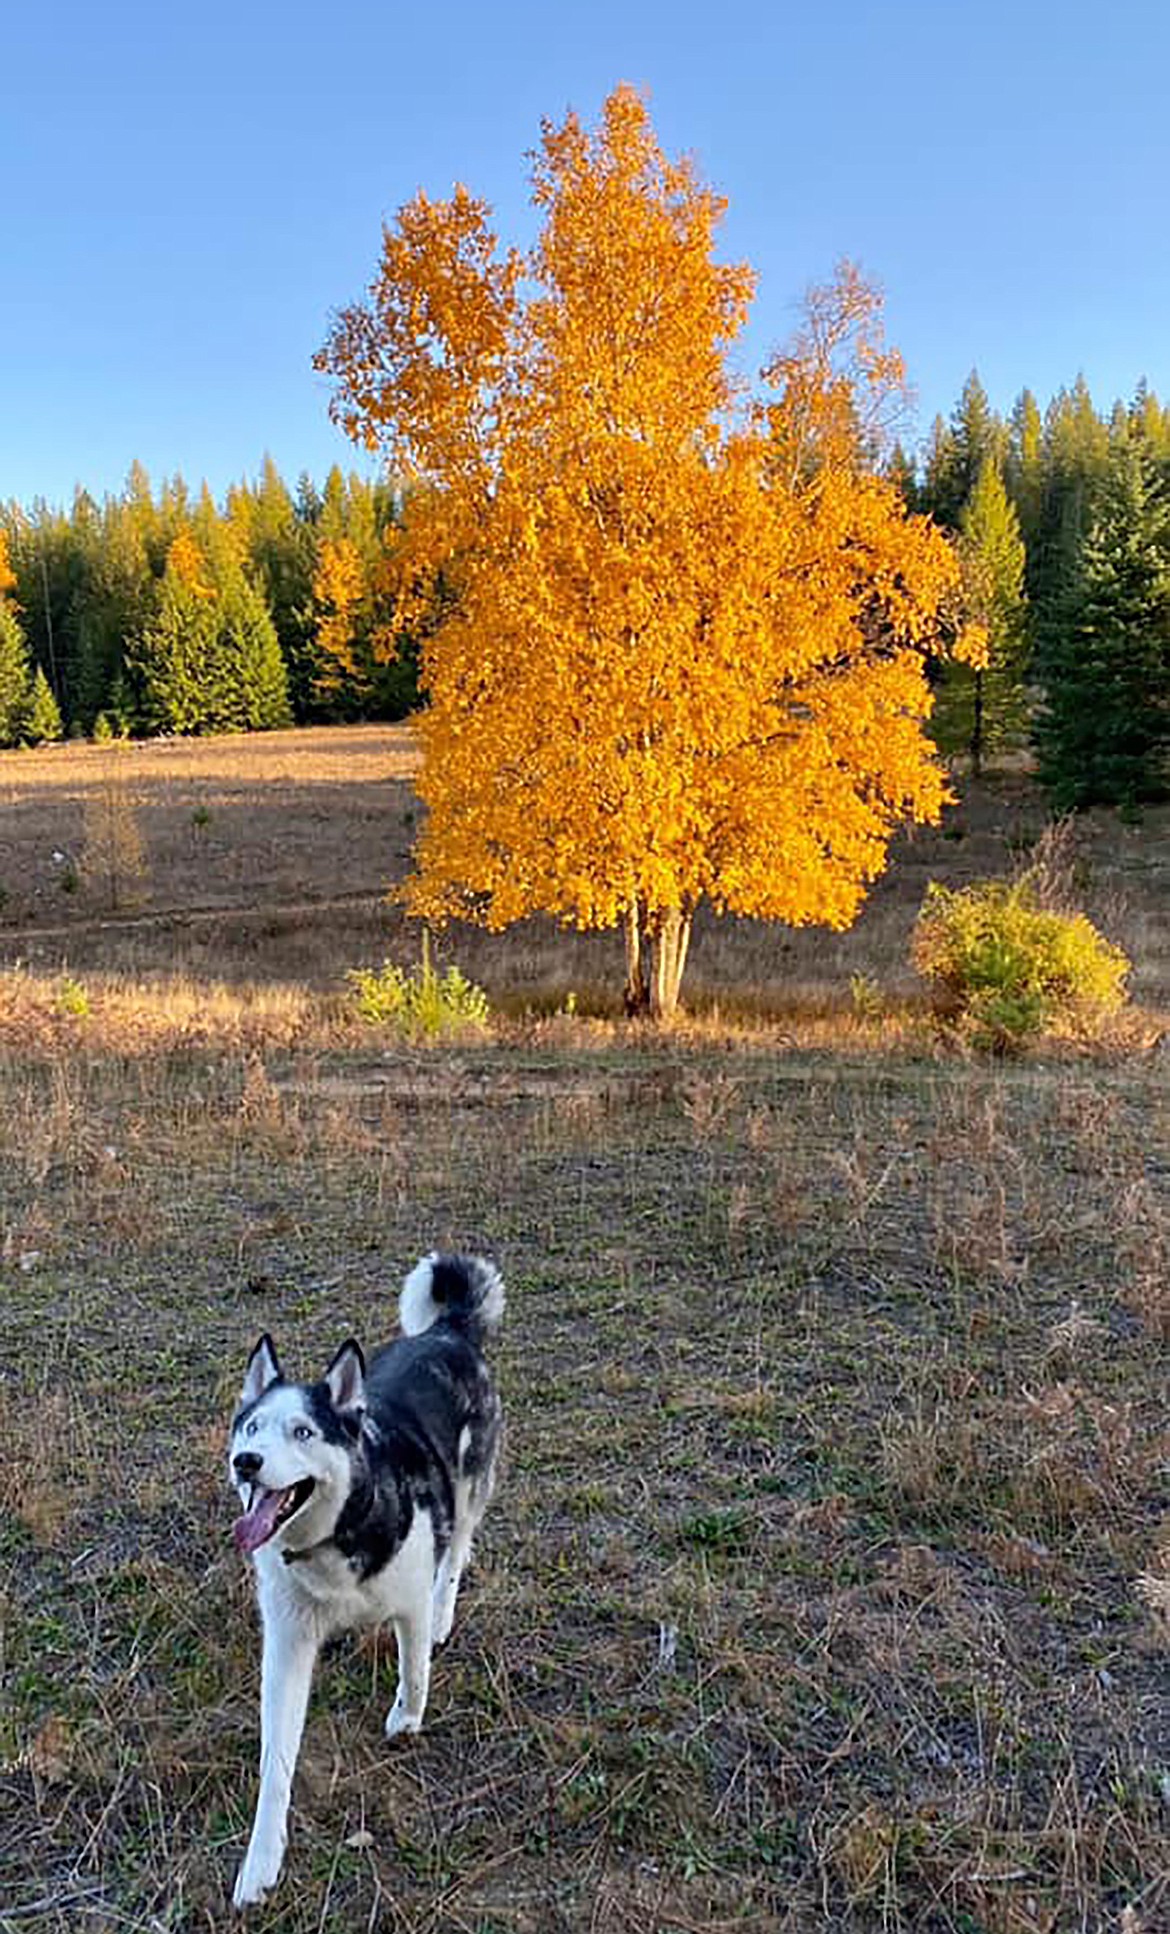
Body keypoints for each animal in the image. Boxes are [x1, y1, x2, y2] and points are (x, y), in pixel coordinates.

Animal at [227, 1253, 502, 1903]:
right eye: (252, 1429)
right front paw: (261, 1861)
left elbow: (415, 1668)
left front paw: (406, 1718)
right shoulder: (287, 1644)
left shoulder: (407, 1601)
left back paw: (445, 1612)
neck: (334, 1536)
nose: (246, 1463)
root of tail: (447, 1331)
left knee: (457, 1554)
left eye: (303, 1431)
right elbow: (276, 1761)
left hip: (469, 1492)